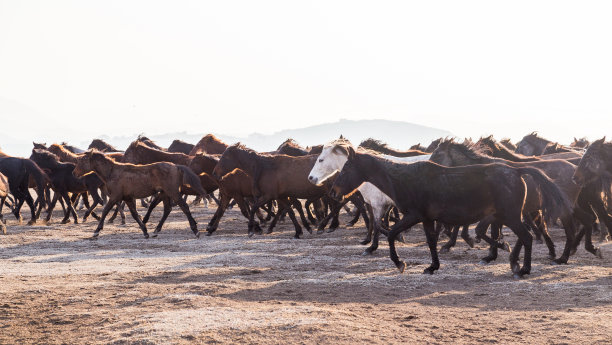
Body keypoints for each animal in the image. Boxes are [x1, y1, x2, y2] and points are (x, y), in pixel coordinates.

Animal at [328, 148, 572, 276]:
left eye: (346, 168)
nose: (333, 191)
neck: (403, 179)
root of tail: (516, 171)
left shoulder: (413, 216)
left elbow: (391, 234)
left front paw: (399, 263)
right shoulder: (426, 219)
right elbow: (431, 242)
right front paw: (432, 266)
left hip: (510, 216)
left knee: (527, 237)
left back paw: (522, 268)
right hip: (510, 216)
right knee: (523, 236)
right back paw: (512, 260)